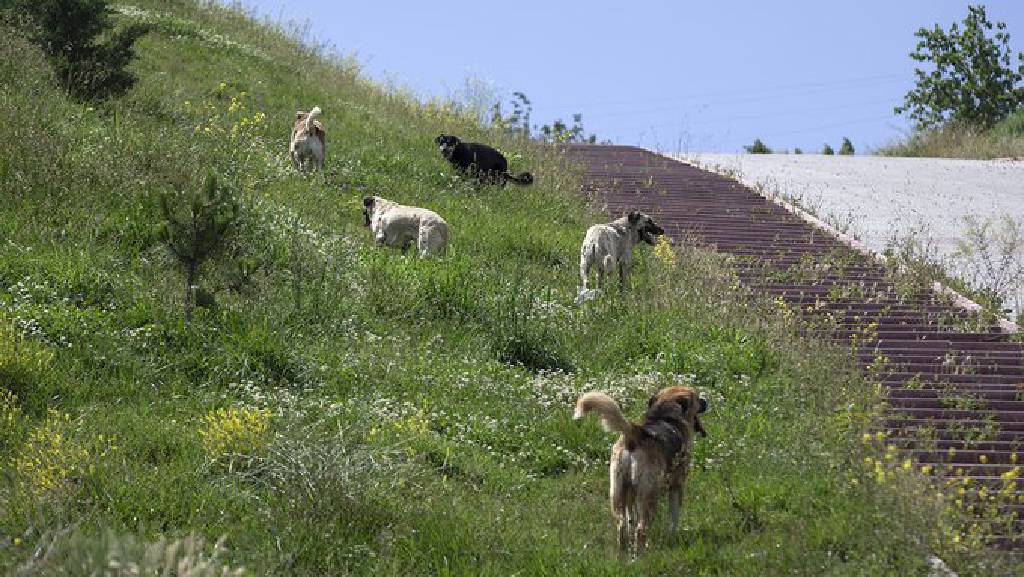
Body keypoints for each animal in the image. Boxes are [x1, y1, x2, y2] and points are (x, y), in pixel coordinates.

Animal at [573, 385, 708, 553]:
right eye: (696, 397)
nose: (706, 401)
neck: (665, 415)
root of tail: (634, 433)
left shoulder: (631, 492)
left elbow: (631, 518)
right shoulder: (677, 485)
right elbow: (674, 516)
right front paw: (673, 535)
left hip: (617, 490)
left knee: (623, 524)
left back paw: (623, 555)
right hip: (649, 494)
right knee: (641, 528)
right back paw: (641, 556)